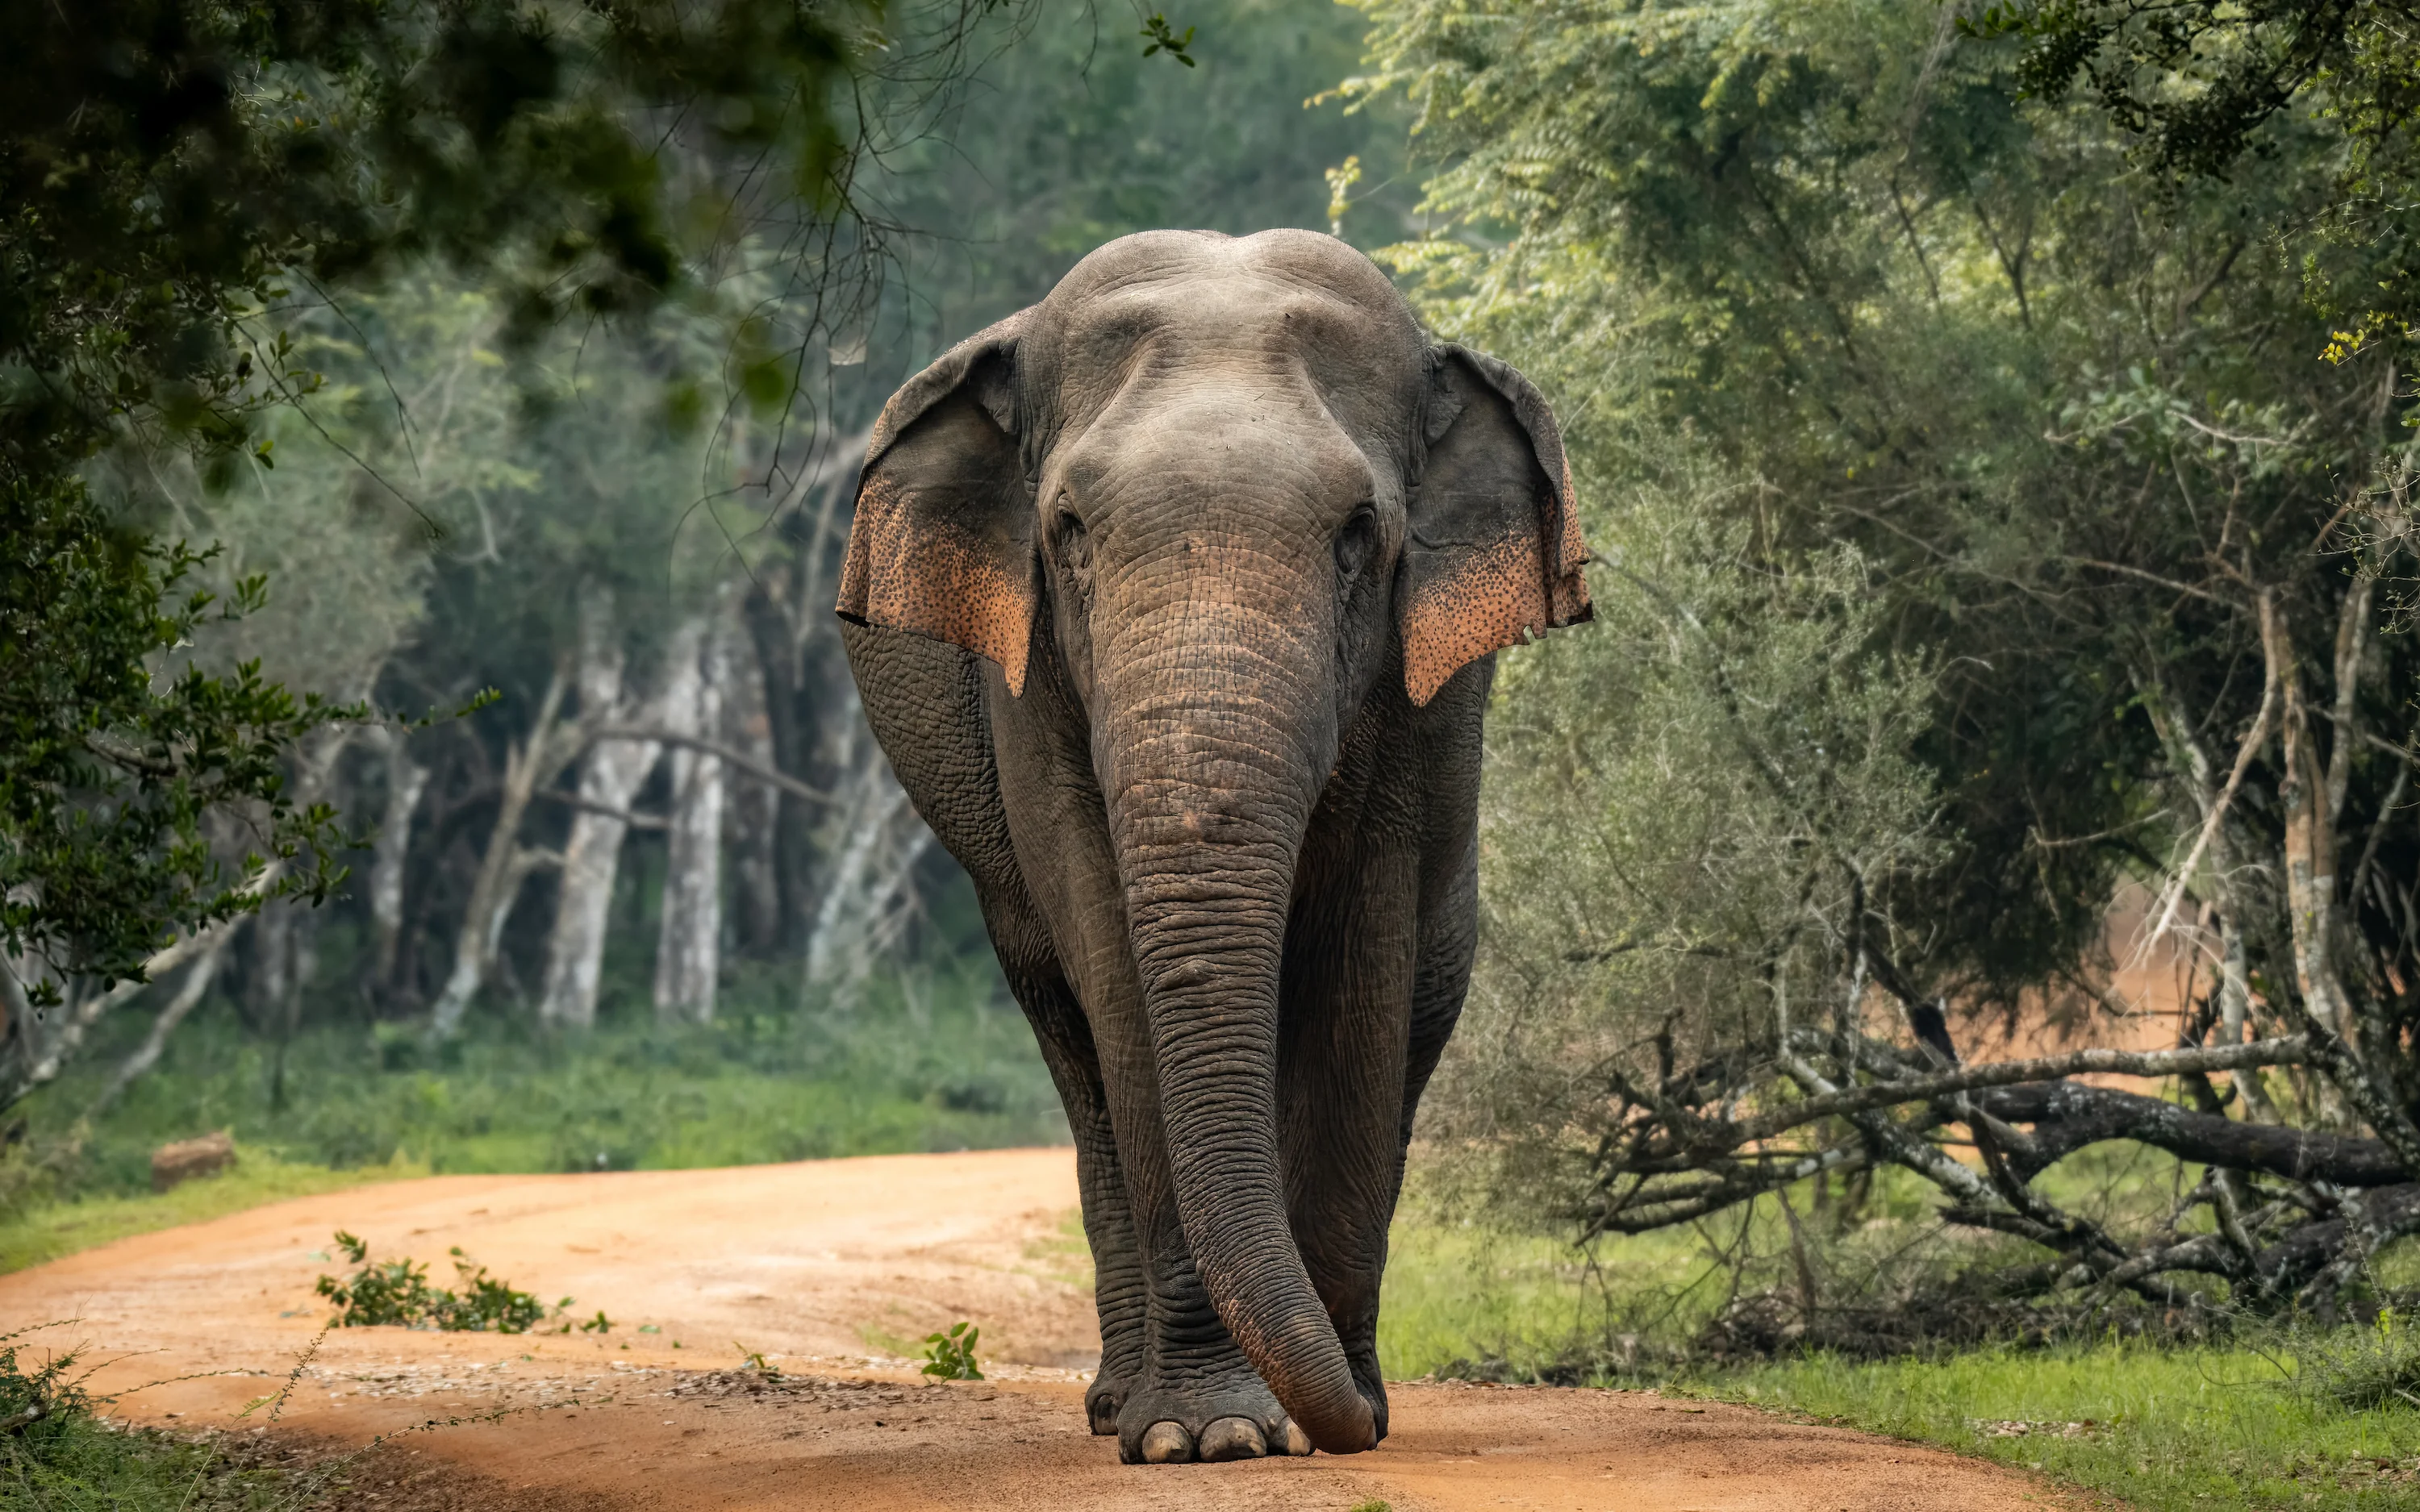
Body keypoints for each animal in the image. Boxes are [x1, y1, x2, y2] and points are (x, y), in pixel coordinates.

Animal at [836, 228, 1591, 1464]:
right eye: (1068, 533)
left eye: (1359, 536)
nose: (1345, 1420)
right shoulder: (1031, 685)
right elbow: (1115, 967)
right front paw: (1213, 1436)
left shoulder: (1412, 705)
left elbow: (1362, 964)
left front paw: (1336, 1414)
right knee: (1071, 1037)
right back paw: (1117, 1407)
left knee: (1417, 1008)